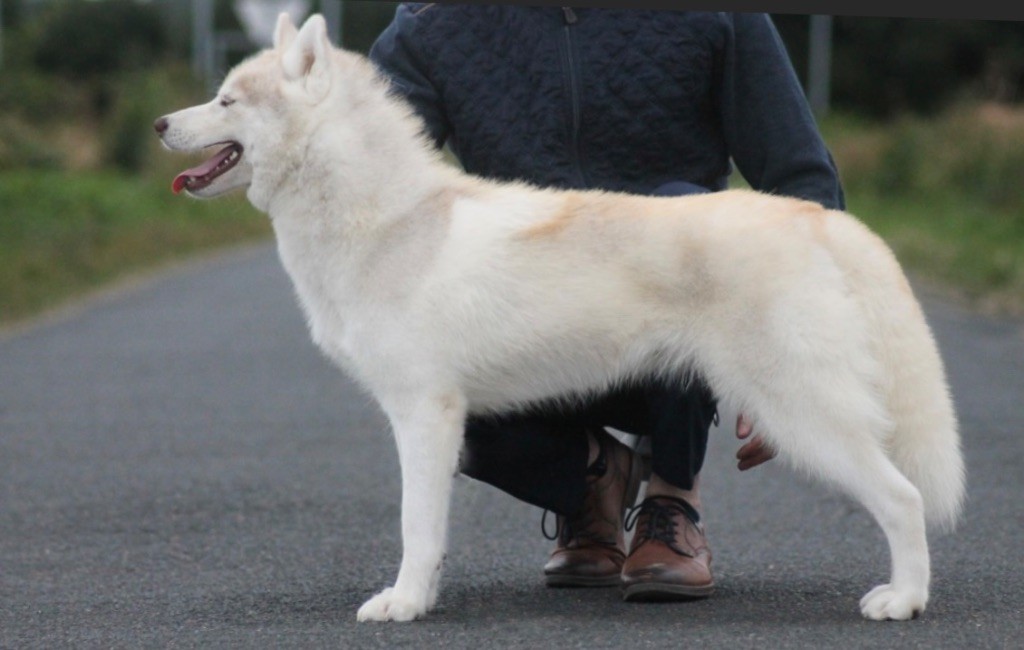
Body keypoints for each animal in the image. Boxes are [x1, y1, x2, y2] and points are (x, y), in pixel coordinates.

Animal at [153, 14, 966, 626]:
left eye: (225, 101)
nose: (160, 123)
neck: (385, 218)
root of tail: (822, 220)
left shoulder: (422, 414)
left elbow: (416, 526)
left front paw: (404, 604)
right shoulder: (442, 422)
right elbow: (430, 530)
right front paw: (425, 597)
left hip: (801, 416)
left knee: (904, 500)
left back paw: (904, 600)